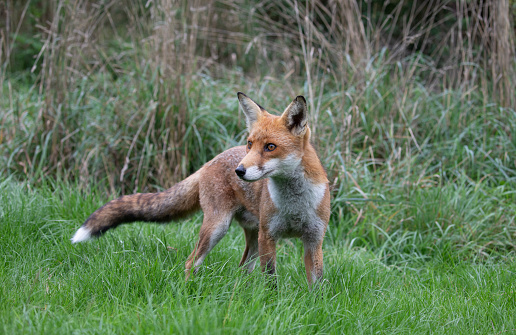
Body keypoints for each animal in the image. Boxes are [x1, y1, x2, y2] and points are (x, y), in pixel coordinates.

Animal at [72, 93, 330, 288]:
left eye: (270, 147)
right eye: (250, 144)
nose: (239, 171)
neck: (294, 205)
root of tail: (209, 161)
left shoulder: (314, 240)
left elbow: (316, 285)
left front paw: (313, 306)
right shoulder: (269, 236)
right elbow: (270, 282)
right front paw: (270, 303)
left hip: (252, 237)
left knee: (241, 269)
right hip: (219, 227)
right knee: (191, 262)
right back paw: (188, 291)